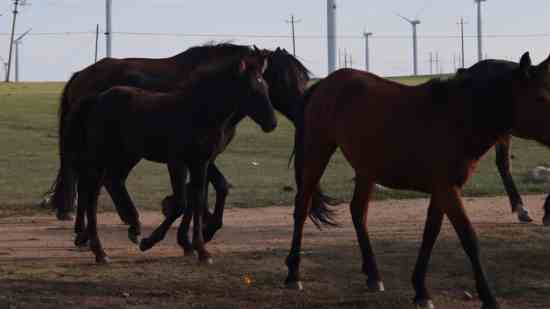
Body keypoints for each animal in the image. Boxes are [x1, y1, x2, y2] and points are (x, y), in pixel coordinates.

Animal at [57, 54, 276, 262]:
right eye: (252, 89)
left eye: (266, 86)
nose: (272, 123)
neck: (198, 111)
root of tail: (95, 99)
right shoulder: (177, 162)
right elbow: (181, 202)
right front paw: (150, 242)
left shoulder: (201, 163)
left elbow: (197, 199)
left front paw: (200, 249)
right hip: (103, 156)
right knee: (91, 193)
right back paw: (100, 250)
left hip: (126, 156)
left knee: (110, 182)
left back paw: (123, 231)